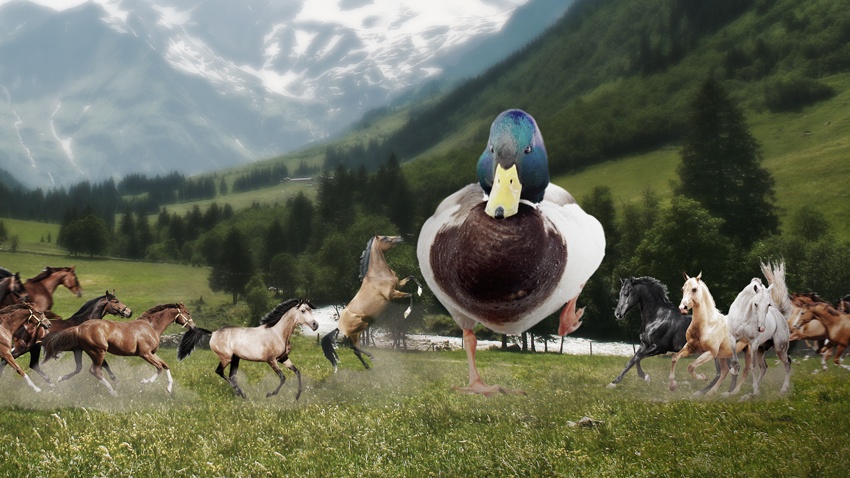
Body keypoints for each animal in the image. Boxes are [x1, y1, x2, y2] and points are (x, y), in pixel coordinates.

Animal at [1, 291, 133, 385]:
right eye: (116, 301)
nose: (129, 312)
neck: (84, 322)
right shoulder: (86, 349)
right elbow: (101, 364)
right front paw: (116, 380)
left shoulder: (78, 350)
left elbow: (81, 367)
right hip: (23, 348)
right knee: (6, 360)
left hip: (34, 349)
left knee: (32, 365)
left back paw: (51, 383)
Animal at [42, 303, 193, 395]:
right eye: (187, 312)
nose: (193, 326)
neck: (150, 327)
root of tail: (80, 327)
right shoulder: (145, 354)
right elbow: (159, 367)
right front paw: (145, 381)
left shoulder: (152, 353)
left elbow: (165, 365)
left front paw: (168, 389)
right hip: (98, 352)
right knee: (95, 370)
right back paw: (113, 392)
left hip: (81, 350)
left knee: (80, 368)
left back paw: (60, 378)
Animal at [178, 299, 319, 400]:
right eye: (303, 311)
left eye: (310, 310)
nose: (315, 325)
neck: (278, 333)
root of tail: (213, 333)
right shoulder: (271, 360)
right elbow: (283, 377)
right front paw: (270, 394)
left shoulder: (283, 358)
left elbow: (297, 372)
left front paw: (297, 396)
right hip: (226, 358)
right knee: (220, 372)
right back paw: (242, 394)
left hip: (235, 358)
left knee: (232, 376)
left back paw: (241, 394)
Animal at [321, 235, 422, 372]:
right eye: (385, 238)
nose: (400, 238)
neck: (379, 275)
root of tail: (339, 326)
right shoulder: (391, 294)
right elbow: (410, 295)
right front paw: (406, 313)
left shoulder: (399, 285)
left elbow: (412, 277)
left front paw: (420, 290)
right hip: (359, 329)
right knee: (355, 347)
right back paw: (371, 357)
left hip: (358, 331)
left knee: (355, 350)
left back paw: (367, 366)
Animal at [725, 261, 792, 397]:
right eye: (755, 304)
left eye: (768, 304)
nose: (761, 328)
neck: (744, 317)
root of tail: (781, 315)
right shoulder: (733, 339)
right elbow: (735, 361)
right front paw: (733, 383)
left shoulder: (754, 343)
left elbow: (752, 366)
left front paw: (755, 390)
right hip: (762, 349)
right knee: (764, 367)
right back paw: (752, 389)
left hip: (779, 348)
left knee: (787, 364)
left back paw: (782, 389)